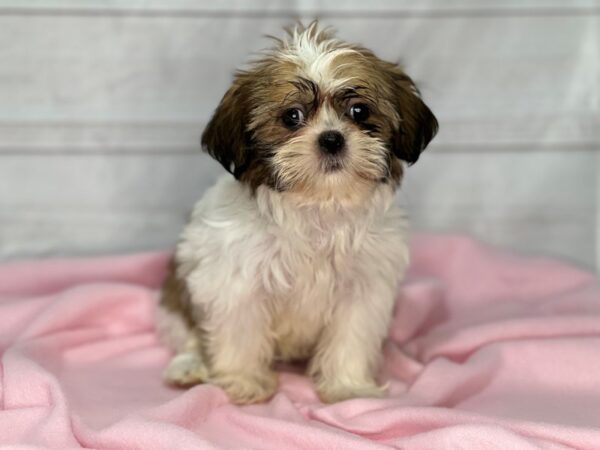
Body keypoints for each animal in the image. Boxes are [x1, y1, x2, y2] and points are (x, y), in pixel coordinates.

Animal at [156, 21, 436, 404]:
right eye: (291, 117)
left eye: (359, 112)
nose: (331, 138)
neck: (318, 205)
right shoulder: (236, 282)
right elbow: (240, 334)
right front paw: (243, 382)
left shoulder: (363, 288)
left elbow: (351, 338)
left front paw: (349, 387)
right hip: (178, 289)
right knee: (186, 333)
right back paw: (189, 366)